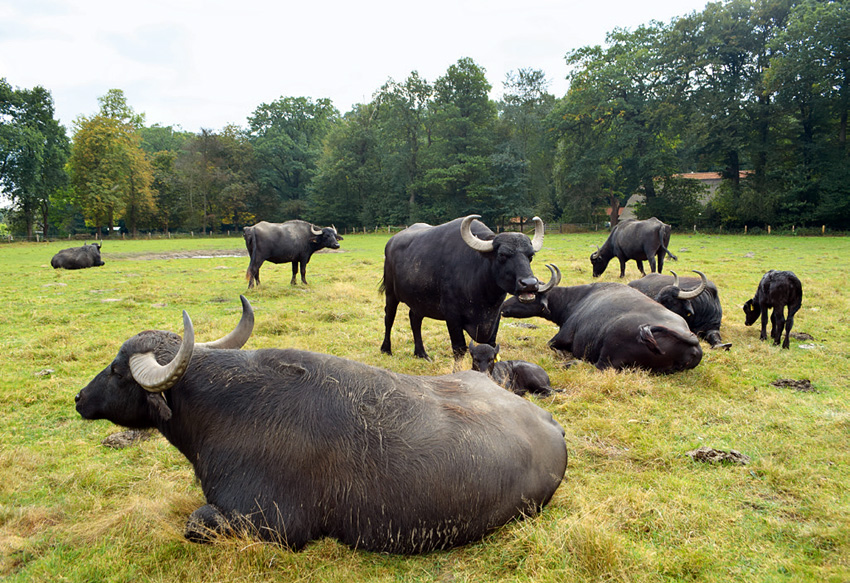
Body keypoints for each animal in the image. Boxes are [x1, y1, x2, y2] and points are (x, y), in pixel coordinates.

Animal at [76, 298, 568, 556]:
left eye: (118, 370)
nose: (79, 398)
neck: (225, 409)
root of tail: (551, 426)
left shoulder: (274, 524)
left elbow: (195, 522)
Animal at [380, 214, 556, 360]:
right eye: (502, 255)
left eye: (530, 256)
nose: (529, 284)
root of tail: (390, 242)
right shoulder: (452, 316)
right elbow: (459, 348)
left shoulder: (495, 317)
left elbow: (490, 346)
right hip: (391, 294)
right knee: (389, 318)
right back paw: (386, 349)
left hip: (419, 301)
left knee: (414, 320)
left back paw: (421, 353)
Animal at [500, 266, 700, 374]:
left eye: (526, 295)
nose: (503, 306)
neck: (575, 300)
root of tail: (691, 339)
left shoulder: (562, 336)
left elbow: (551, 344)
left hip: (611, 344)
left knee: (599, 366)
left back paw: (569, 363)